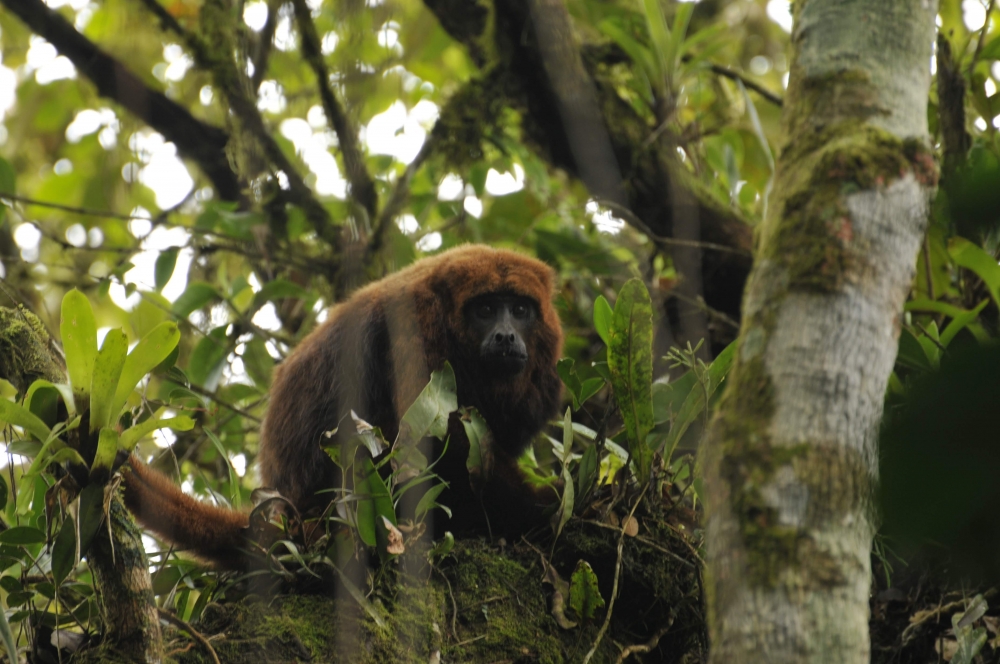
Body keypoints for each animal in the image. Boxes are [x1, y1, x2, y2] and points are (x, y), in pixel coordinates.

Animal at [123, 246, 564, 568]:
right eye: (486, 309)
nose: (506, 336)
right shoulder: (419, 333)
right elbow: (441, 446)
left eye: (520, 310)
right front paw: (544, 507)